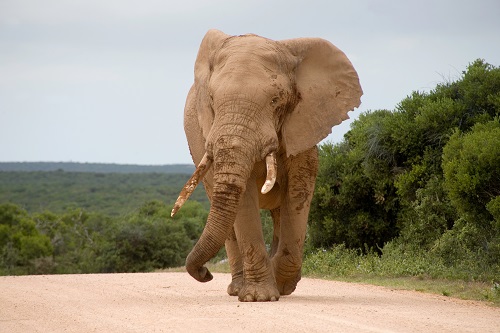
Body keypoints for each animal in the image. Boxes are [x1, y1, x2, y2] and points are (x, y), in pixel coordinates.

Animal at [170, 29, 362, 300]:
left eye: (275, 100)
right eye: (212, 100)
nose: (205, 273)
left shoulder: (303, 125)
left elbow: (298, 194)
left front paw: (281, 286)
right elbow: (244, 198)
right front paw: (259, 296)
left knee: (279, 213)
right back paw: (237, 289)